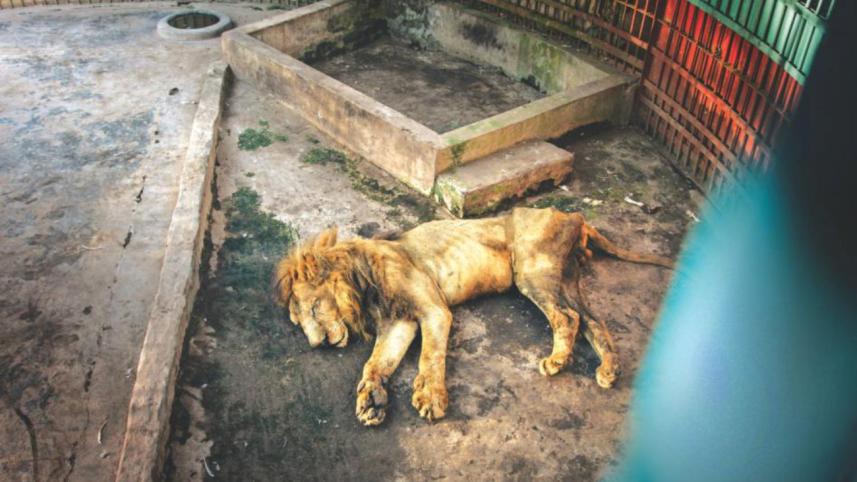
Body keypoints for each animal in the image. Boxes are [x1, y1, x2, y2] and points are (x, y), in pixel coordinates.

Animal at [273, 207, 673, 426]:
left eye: (313, 308)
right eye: (299, 324)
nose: (316, 345)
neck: (363, 280)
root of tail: (574, 216)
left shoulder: (433, 309)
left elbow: (430, 355)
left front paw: (431, 398)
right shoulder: (399, 321)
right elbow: (376, 362)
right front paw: (371, 400)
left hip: (531, 270)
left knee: (568, 318)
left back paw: (557, 361)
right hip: (566, 279)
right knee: (593, 321)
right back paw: (608, 370)